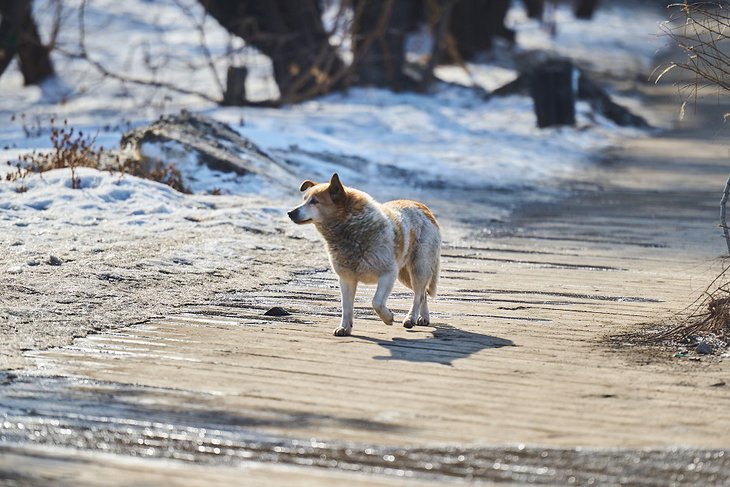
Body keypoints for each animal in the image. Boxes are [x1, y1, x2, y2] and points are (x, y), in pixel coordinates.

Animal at [288, 173, 440, 338]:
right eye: (304, 199)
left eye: (315, 201)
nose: (290, 213)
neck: (351, 230)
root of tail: (422, 207)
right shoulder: (346, 279)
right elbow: (346, 306)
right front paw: (344, 327)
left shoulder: (388, 273)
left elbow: (376, 302)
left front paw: (388, 317)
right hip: (405, 275)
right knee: (423, 294)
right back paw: (423, 317)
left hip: (418, 267)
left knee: (419, 295)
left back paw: (411, 318)